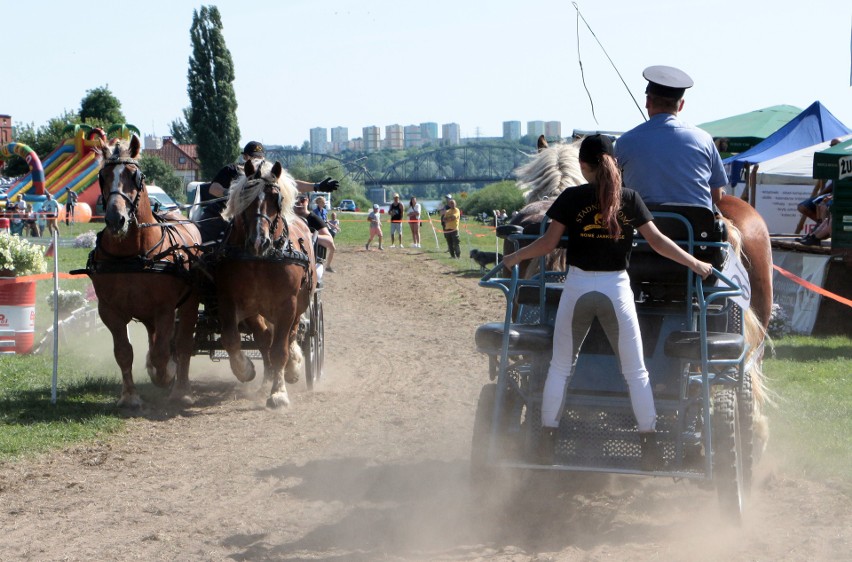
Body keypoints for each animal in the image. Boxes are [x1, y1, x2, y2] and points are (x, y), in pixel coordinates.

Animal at [216, 158, 316, 406]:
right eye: (246, 196)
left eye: (275, 198)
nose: (259, 241)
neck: (260, 259)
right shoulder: (231, 300)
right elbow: (232, 339)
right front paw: (245, 369)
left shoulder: (287, 304)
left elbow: (280, 349)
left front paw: (279, 393)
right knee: (264, 341)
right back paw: (265, 380)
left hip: (300, 303)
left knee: (292, 334)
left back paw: (292, 368)